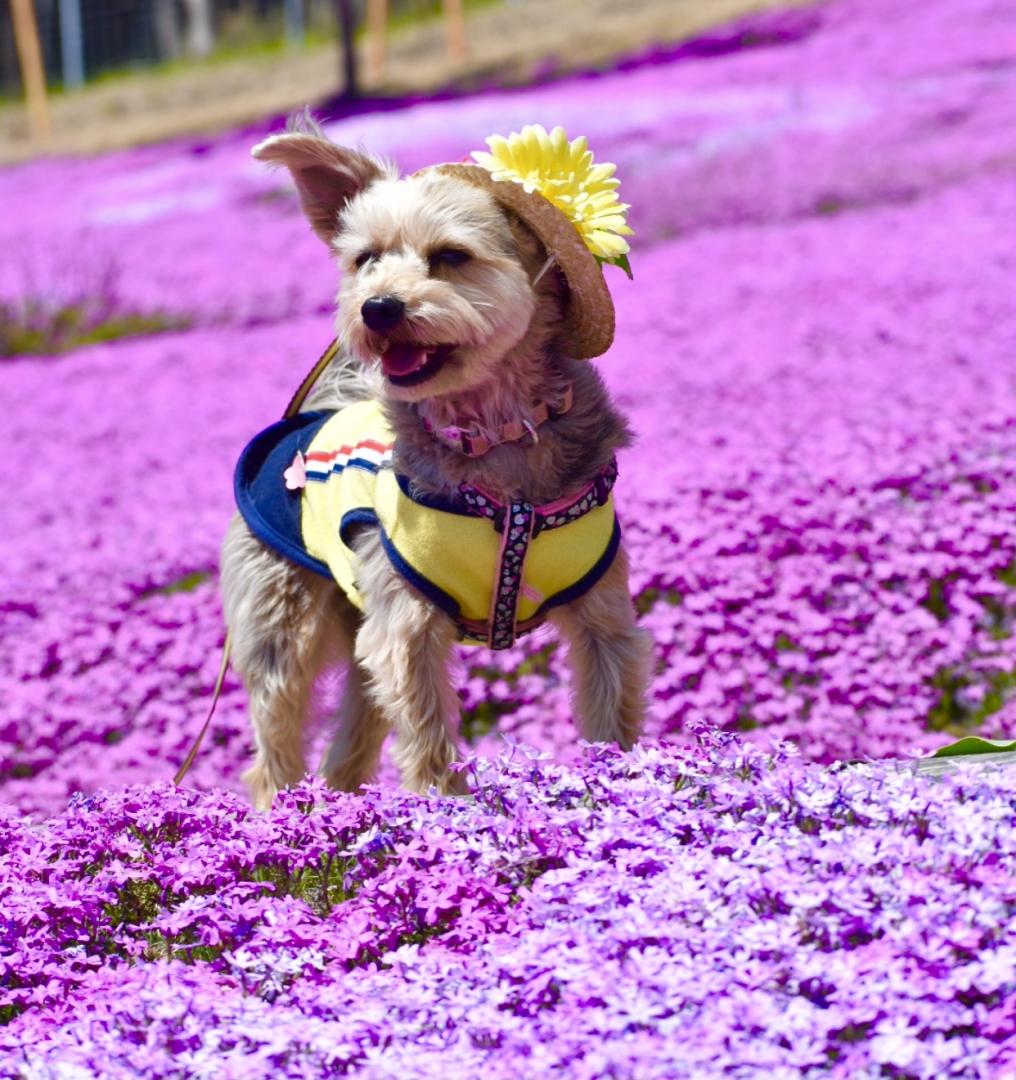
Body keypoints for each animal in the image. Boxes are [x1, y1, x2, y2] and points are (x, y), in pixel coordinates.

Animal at [221, 120, 652, 812]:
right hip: (281, 613)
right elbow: (425, 731)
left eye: (451, 256)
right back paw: (282, 816)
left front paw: (620, 793)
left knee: (351, 736)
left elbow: (612, 711)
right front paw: (442, 810)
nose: (376, 308)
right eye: (365, 259)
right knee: (278, 726)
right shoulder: (405, 622)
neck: (494, 435)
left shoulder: (604, 612)